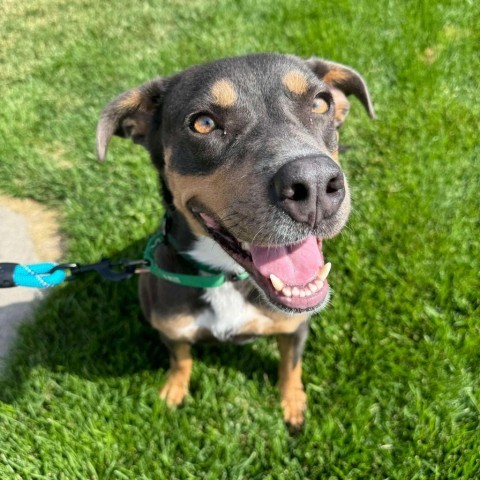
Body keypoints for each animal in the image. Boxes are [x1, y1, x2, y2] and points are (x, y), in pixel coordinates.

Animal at [95, 53, 374, 432]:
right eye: (203, 123)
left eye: (320, 103)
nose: (315, 184)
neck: (225, 275)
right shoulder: (172, 329)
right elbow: (180, 358)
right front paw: (174, 390)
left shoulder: (294, 328)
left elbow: (290, 367)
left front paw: (293, 404)